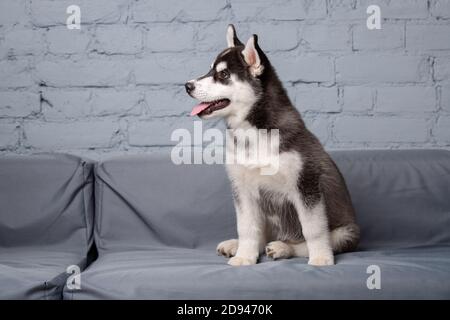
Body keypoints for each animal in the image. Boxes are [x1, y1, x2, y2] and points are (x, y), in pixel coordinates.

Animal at [184, 23, 358, 266]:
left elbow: (313, 229)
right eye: (210, 70)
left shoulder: (305, 185)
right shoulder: (243, 189)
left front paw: (321, 258)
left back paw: (284, 248)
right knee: (261, 235)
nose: (187, 85)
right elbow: (247, 228)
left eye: (224, 74)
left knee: (307, 242)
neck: (253, 133)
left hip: (347, 232)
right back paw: (236, 246)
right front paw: (244, 256)